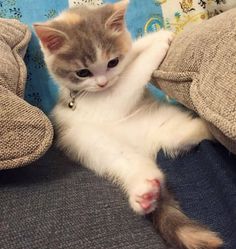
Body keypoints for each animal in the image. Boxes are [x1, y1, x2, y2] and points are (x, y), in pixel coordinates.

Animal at [33, 0, 223, 248]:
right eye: (83, 72)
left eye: (112, 62)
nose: (102, 83)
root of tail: (147, 148)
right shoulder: (106, 103)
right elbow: (131, 78)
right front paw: (159, 41)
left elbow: (131, 55)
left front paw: (151, 38)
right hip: (102, 149)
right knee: (132, 167)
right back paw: (144, 193)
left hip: (165, 124)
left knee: (180, 135)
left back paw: (204, 129)